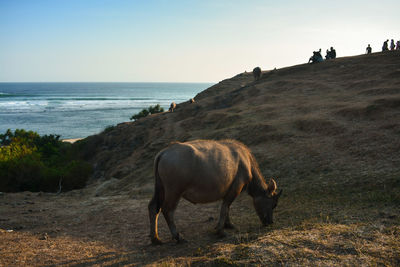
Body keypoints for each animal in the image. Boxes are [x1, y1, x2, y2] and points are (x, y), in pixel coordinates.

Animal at [147, 140, 282, 245]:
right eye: (274, 204)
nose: (270, 222)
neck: (246, 162)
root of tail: (165, 151)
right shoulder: (235, 188)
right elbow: (225, 207)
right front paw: (220, 231)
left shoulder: (227, 189)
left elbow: (227, 208)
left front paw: (228, 224)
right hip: (174, 191)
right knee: (167, 210)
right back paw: (178, 237)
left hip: (160, 188)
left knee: (153, 207)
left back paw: (155, 239)